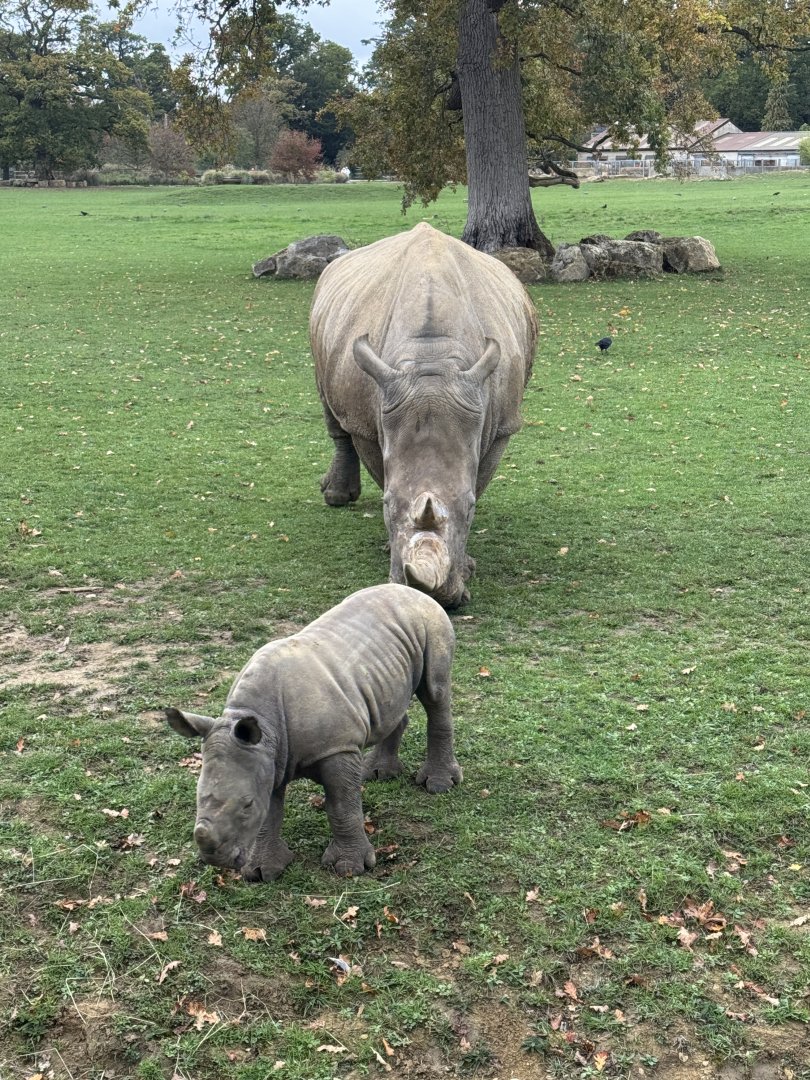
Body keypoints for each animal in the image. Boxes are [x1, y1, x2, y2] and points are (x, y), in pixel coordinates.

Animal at [166, 584, 460, 881]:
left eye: (247, 805)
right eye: (197, 798)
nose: (215, 860)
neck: (264, 724)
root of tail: (412, 591)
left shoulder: (336, 747)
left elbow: (341, 807)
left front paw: (349, 868)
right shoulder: (268, 756)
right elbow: (270, 811)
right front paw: (262, 872)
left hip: (432, 622)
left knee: (435, 693)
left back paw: (438, 785)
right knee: (391, 704)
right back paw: (377, 773)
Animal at [311, 221, 538, 608]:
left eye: (470, 509)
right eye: (386, 505)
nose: (437, 598)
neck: (431, 358)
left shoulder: (502, 424)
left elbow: (479, 479)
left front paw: (467, 566)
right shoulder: (371, 420)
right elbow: (381, 469)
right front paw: (390, 547)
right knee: (330, 406)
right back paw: (337, 498)